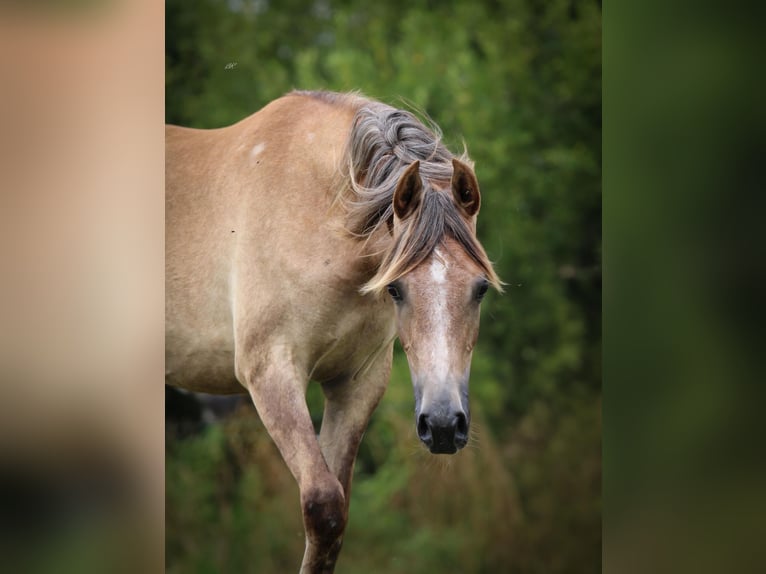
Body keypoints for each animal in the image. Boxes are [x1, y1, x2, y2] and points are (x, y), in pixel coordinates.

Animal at [165, 90, 502, 573]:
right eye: (395, 289)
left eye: (480, 289)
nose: (441, 424)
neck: (317, 214)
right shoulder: (271, 372)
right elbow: (322, 506)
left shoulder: (355, 383)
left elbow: (335, 516)